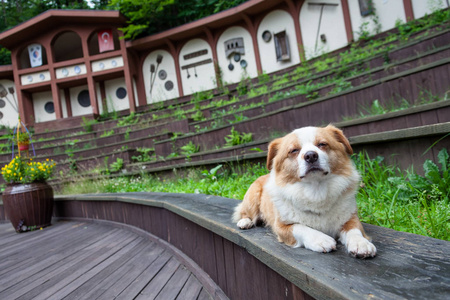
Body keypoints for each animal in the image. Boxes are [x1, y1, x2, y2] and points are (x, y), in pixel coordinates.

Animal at [234, 124, 378, 258]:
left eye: (322, 144)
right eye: (294, 150)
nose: (311, 156)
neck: (316, 191)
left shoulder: (350, 217)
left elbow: (354, 230)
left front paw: (361, 243)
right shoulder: (281, 227)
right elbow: (301, 227)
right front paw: (321, 239)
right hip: (252, 198)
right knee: (244, 212)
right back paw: (245, 222)